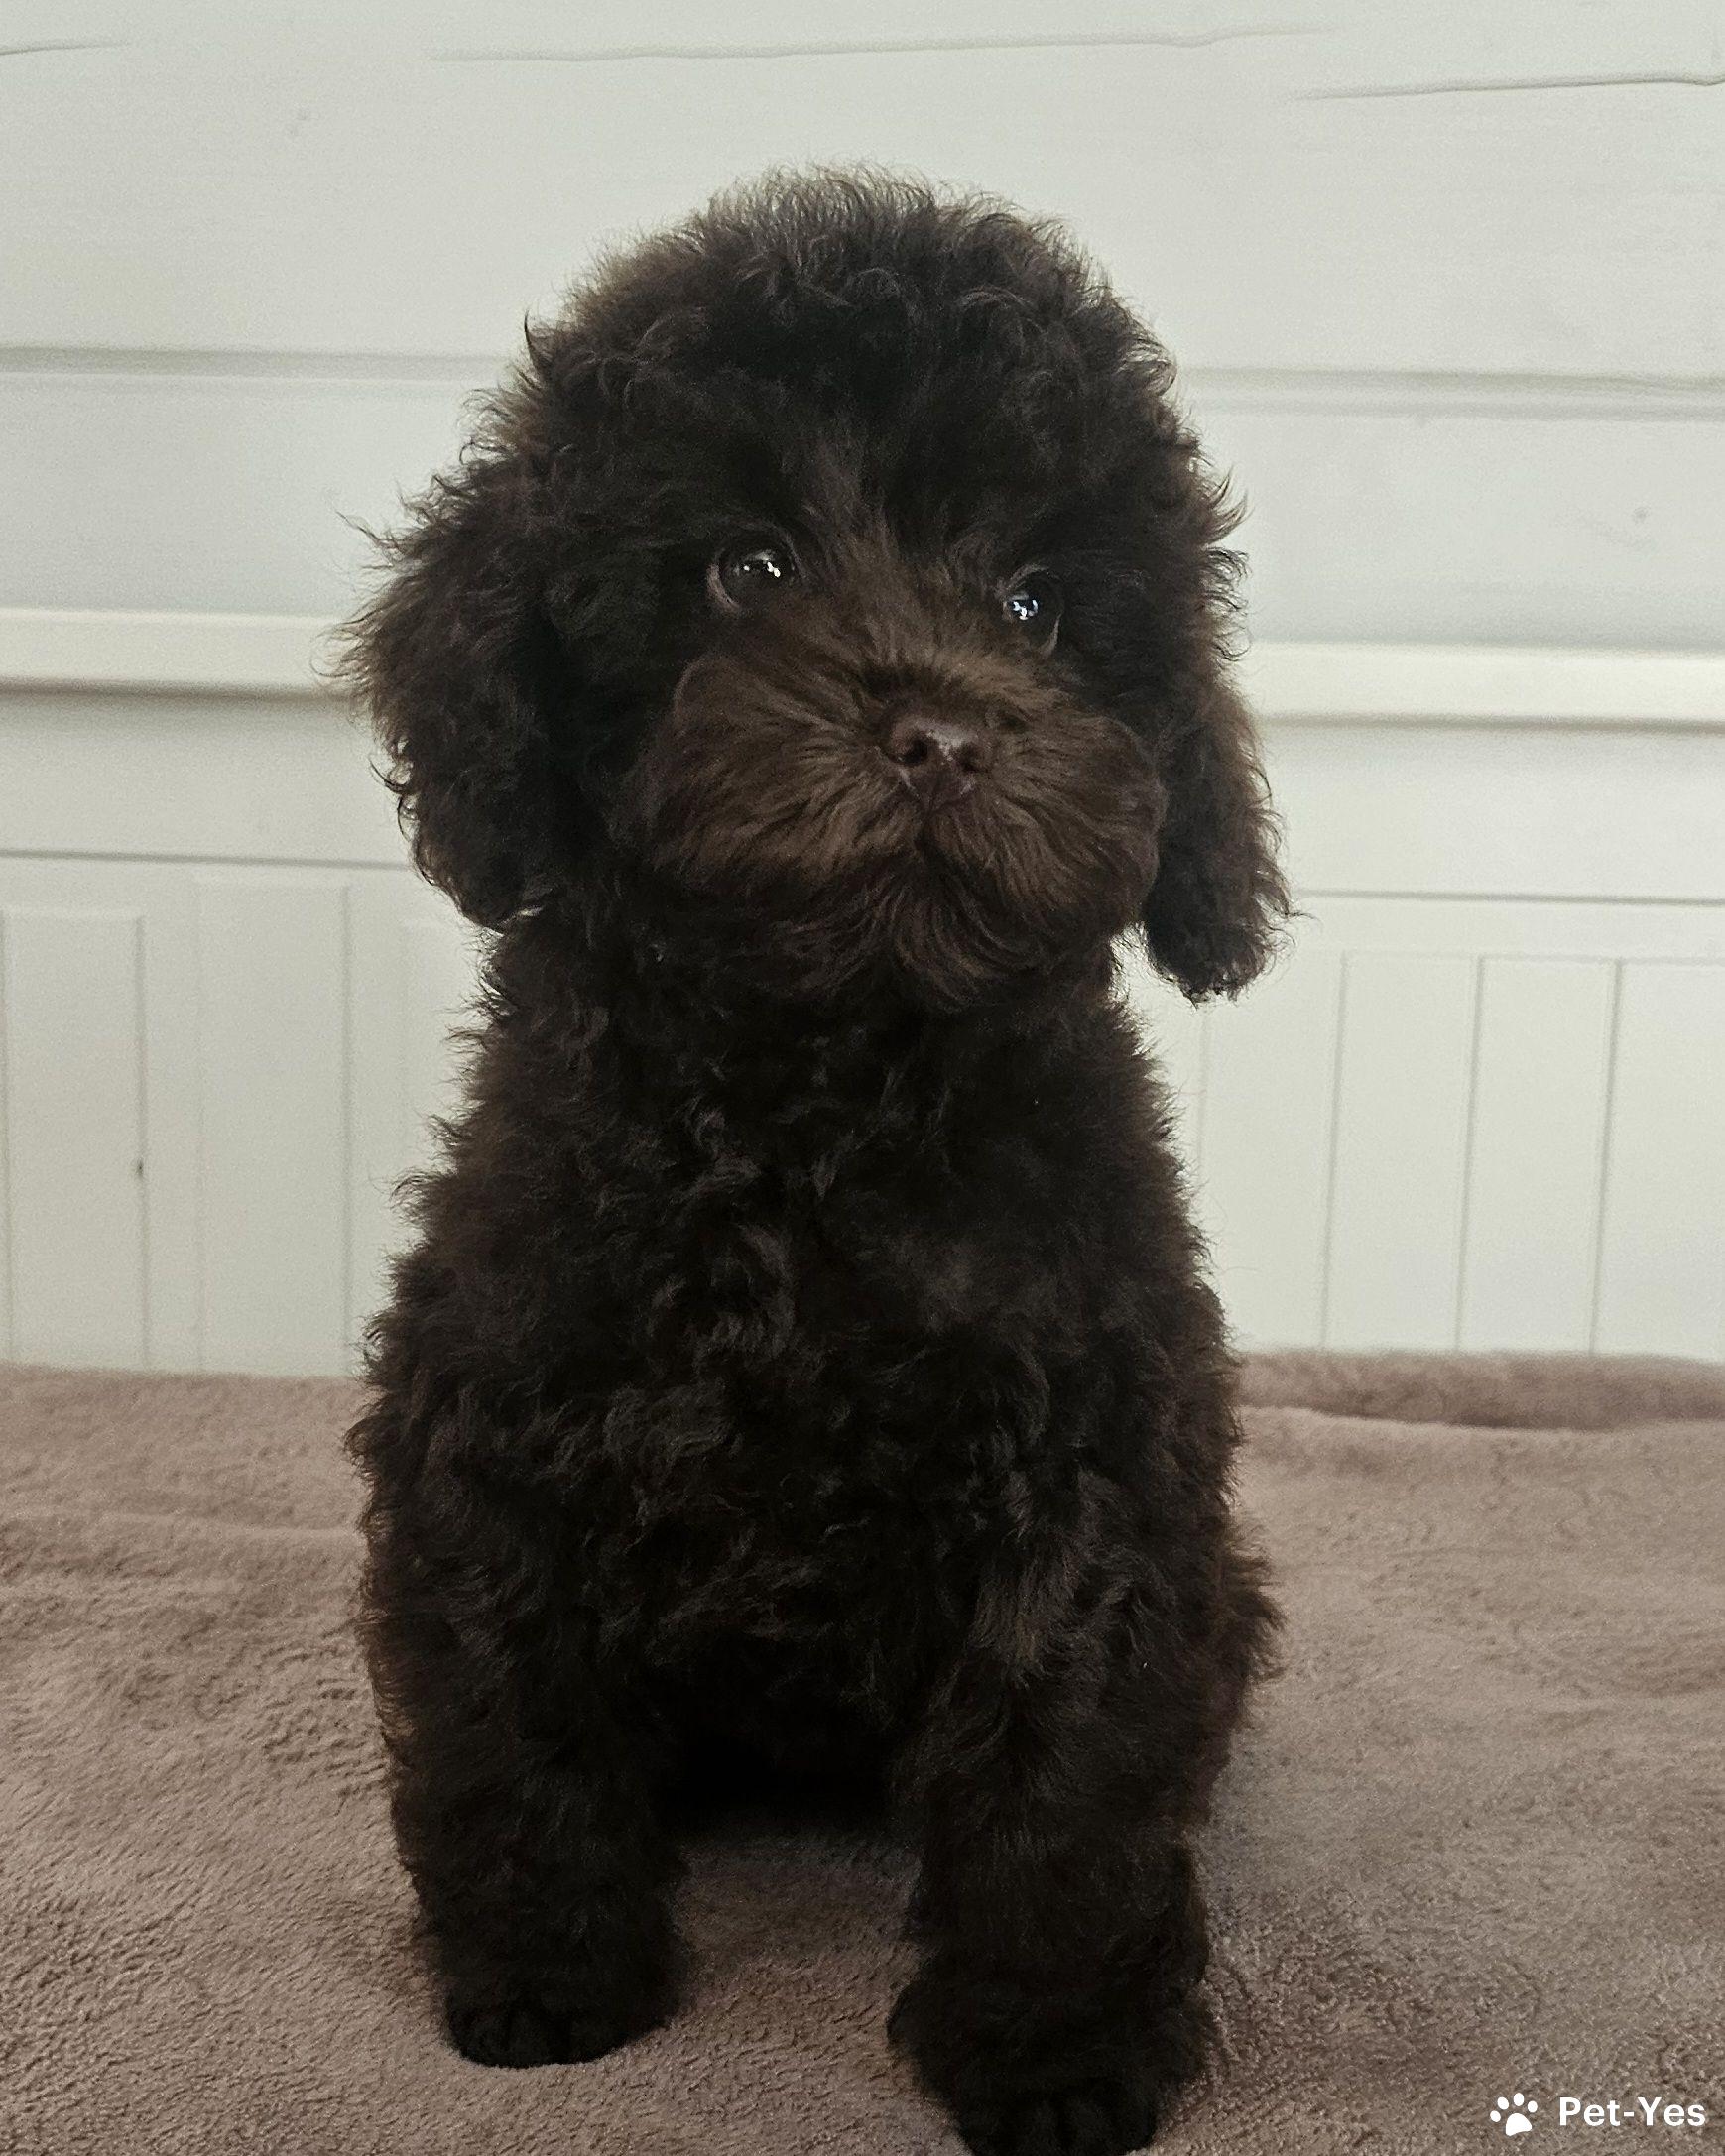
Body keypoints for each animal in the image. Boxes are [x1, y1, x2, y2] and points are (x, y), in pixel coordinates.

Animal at [345, 170, 1284, 2156]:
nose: (938, 733)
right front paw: (545, 1980)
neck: (815, 1104)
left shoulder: (1092, 1479)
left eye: (1035, 600)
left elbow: (1062, 1791)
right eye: (747, 566)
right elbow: (508, 1722)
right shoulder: (492, 1433)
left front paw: (1053, 2053)